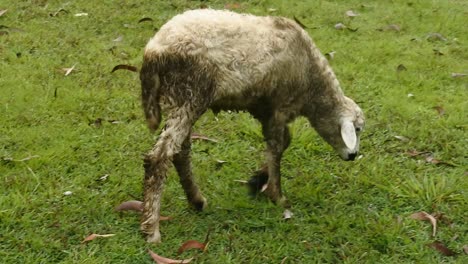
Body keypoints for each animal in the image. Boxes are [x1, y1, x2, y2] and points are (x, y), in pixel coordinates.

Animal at [139, 8, 366, 243]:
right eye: (357, 129)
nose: (353, 155)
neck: (312, 84)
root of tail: (154, 49)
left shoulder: (266, 110)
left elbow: (283, 142)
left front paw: (257, 180)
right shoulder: (280, 106)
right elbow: (277, 148)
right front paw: (277, 195)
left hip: (179, 99)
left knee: (180, 153)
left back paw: (196, 200)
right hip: (190, 93)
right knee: (159, 157)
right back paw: (151, 228)